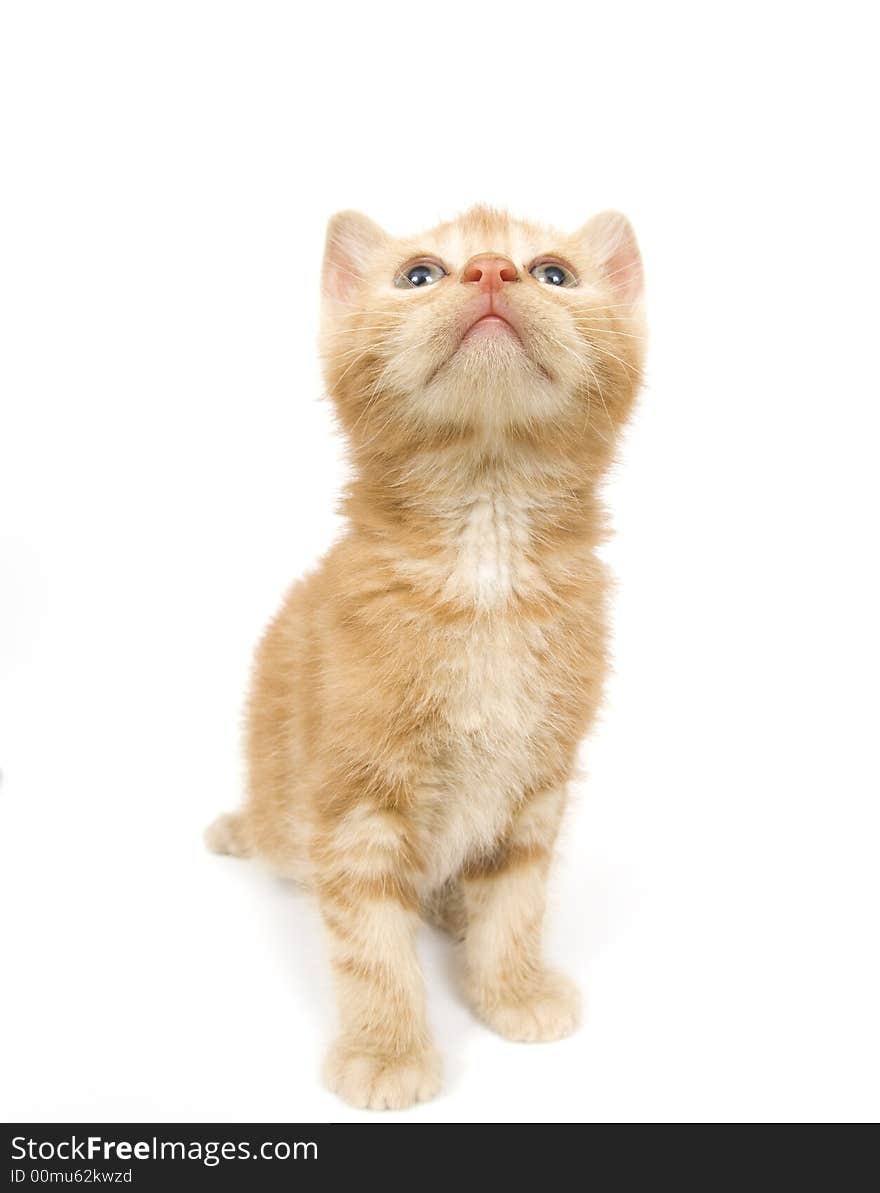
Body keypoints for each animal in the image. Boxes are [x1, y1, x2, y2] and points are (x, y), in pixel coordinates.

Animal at [206, 205, 643, 1107]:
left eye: (553, 273)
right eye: (420, 275)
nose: (489, 271)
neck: (487, 549)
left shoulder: (536, 787)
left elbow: (516, 903)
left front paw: (512, 989)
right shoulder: (353, 802)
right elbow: (371, 945)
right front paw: (388, 1051)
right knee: (274, 836)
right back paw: (240, 826)